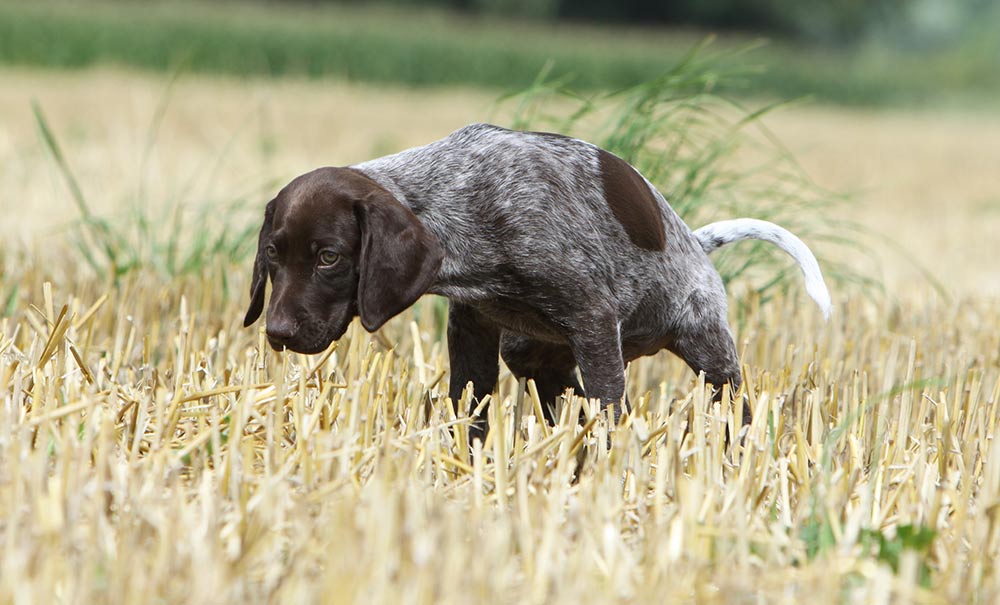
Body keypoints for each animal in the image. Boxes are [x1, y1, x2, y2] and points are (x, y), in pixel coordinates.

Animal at [246, 122, 832, 438]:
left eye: (329, 258)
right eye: (272, 254)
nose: (277, 333)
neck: (459, 199)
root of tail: (693, 238)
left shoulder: (594, 321)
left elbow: (608, 411)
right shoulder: (475, 331)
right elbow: (470, 409)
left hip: (704, 344)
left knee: (731, 403)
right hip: (528, 348)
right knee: (561, 389)